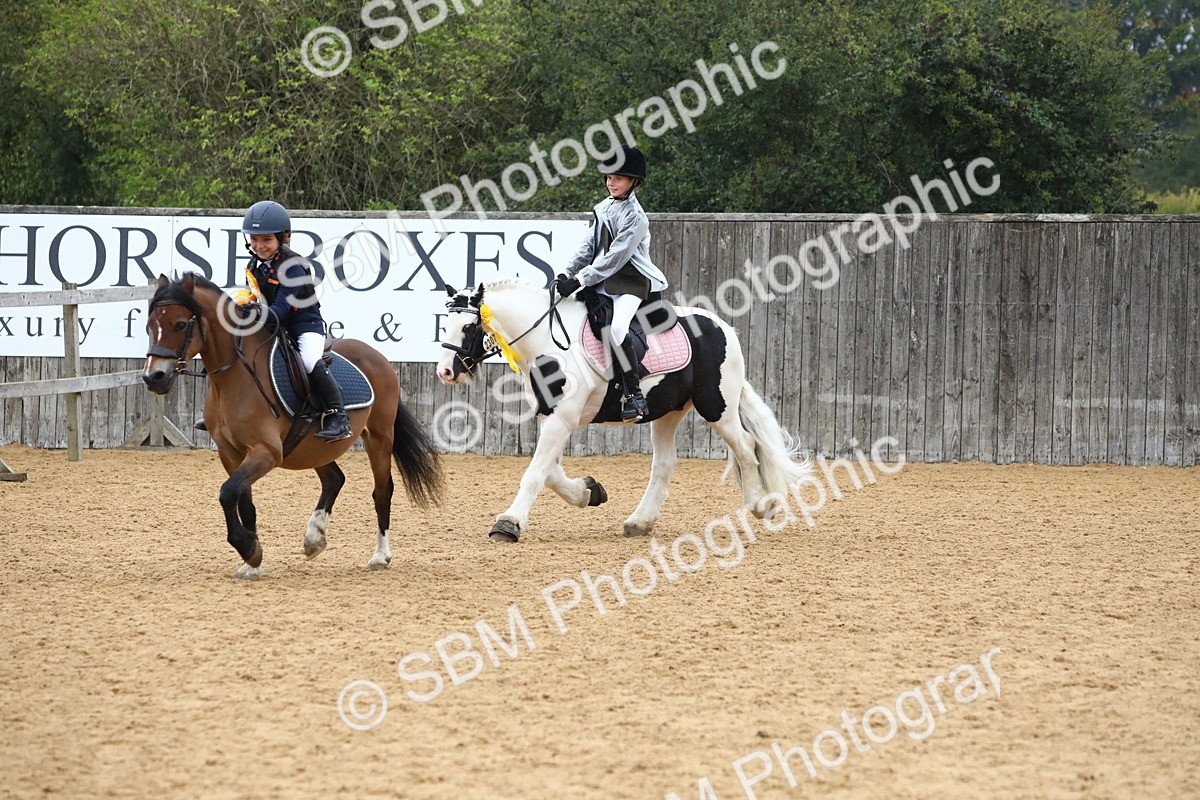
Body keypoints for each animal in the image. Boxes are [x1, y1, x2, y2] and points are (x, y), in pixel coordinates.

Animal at [142, 272, 443, 579]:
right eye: (149, 326)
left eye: (180, 324)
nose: (153, 378)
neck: (234, 377)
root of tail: (377, 356)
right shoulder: (231, 453)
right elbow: (243, 500)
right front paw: (252, 561)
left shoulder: (266, 452)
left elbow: (227, 493)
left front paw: (248, 548)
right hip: (313, 446)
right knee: (334, 479)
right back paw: (314, 538)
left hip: (379, 436)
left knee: (382, 492)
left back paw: (380, 556)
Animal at [435, 278, 811, 542]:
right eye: (444, 325)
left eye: (468, 327)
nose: (446, 372)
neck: (547, 344)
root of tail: (724, 328)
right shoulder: (551, 418)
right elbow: (551, 472)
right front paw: (589, 491)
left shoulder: (561, 420)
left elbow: (535, 473)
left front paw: (508, 523)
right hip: (668, 413)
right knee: (665, 463)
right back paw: (639, 522)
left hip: (718, 407)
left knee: (747, 449)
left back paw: (762, 506)